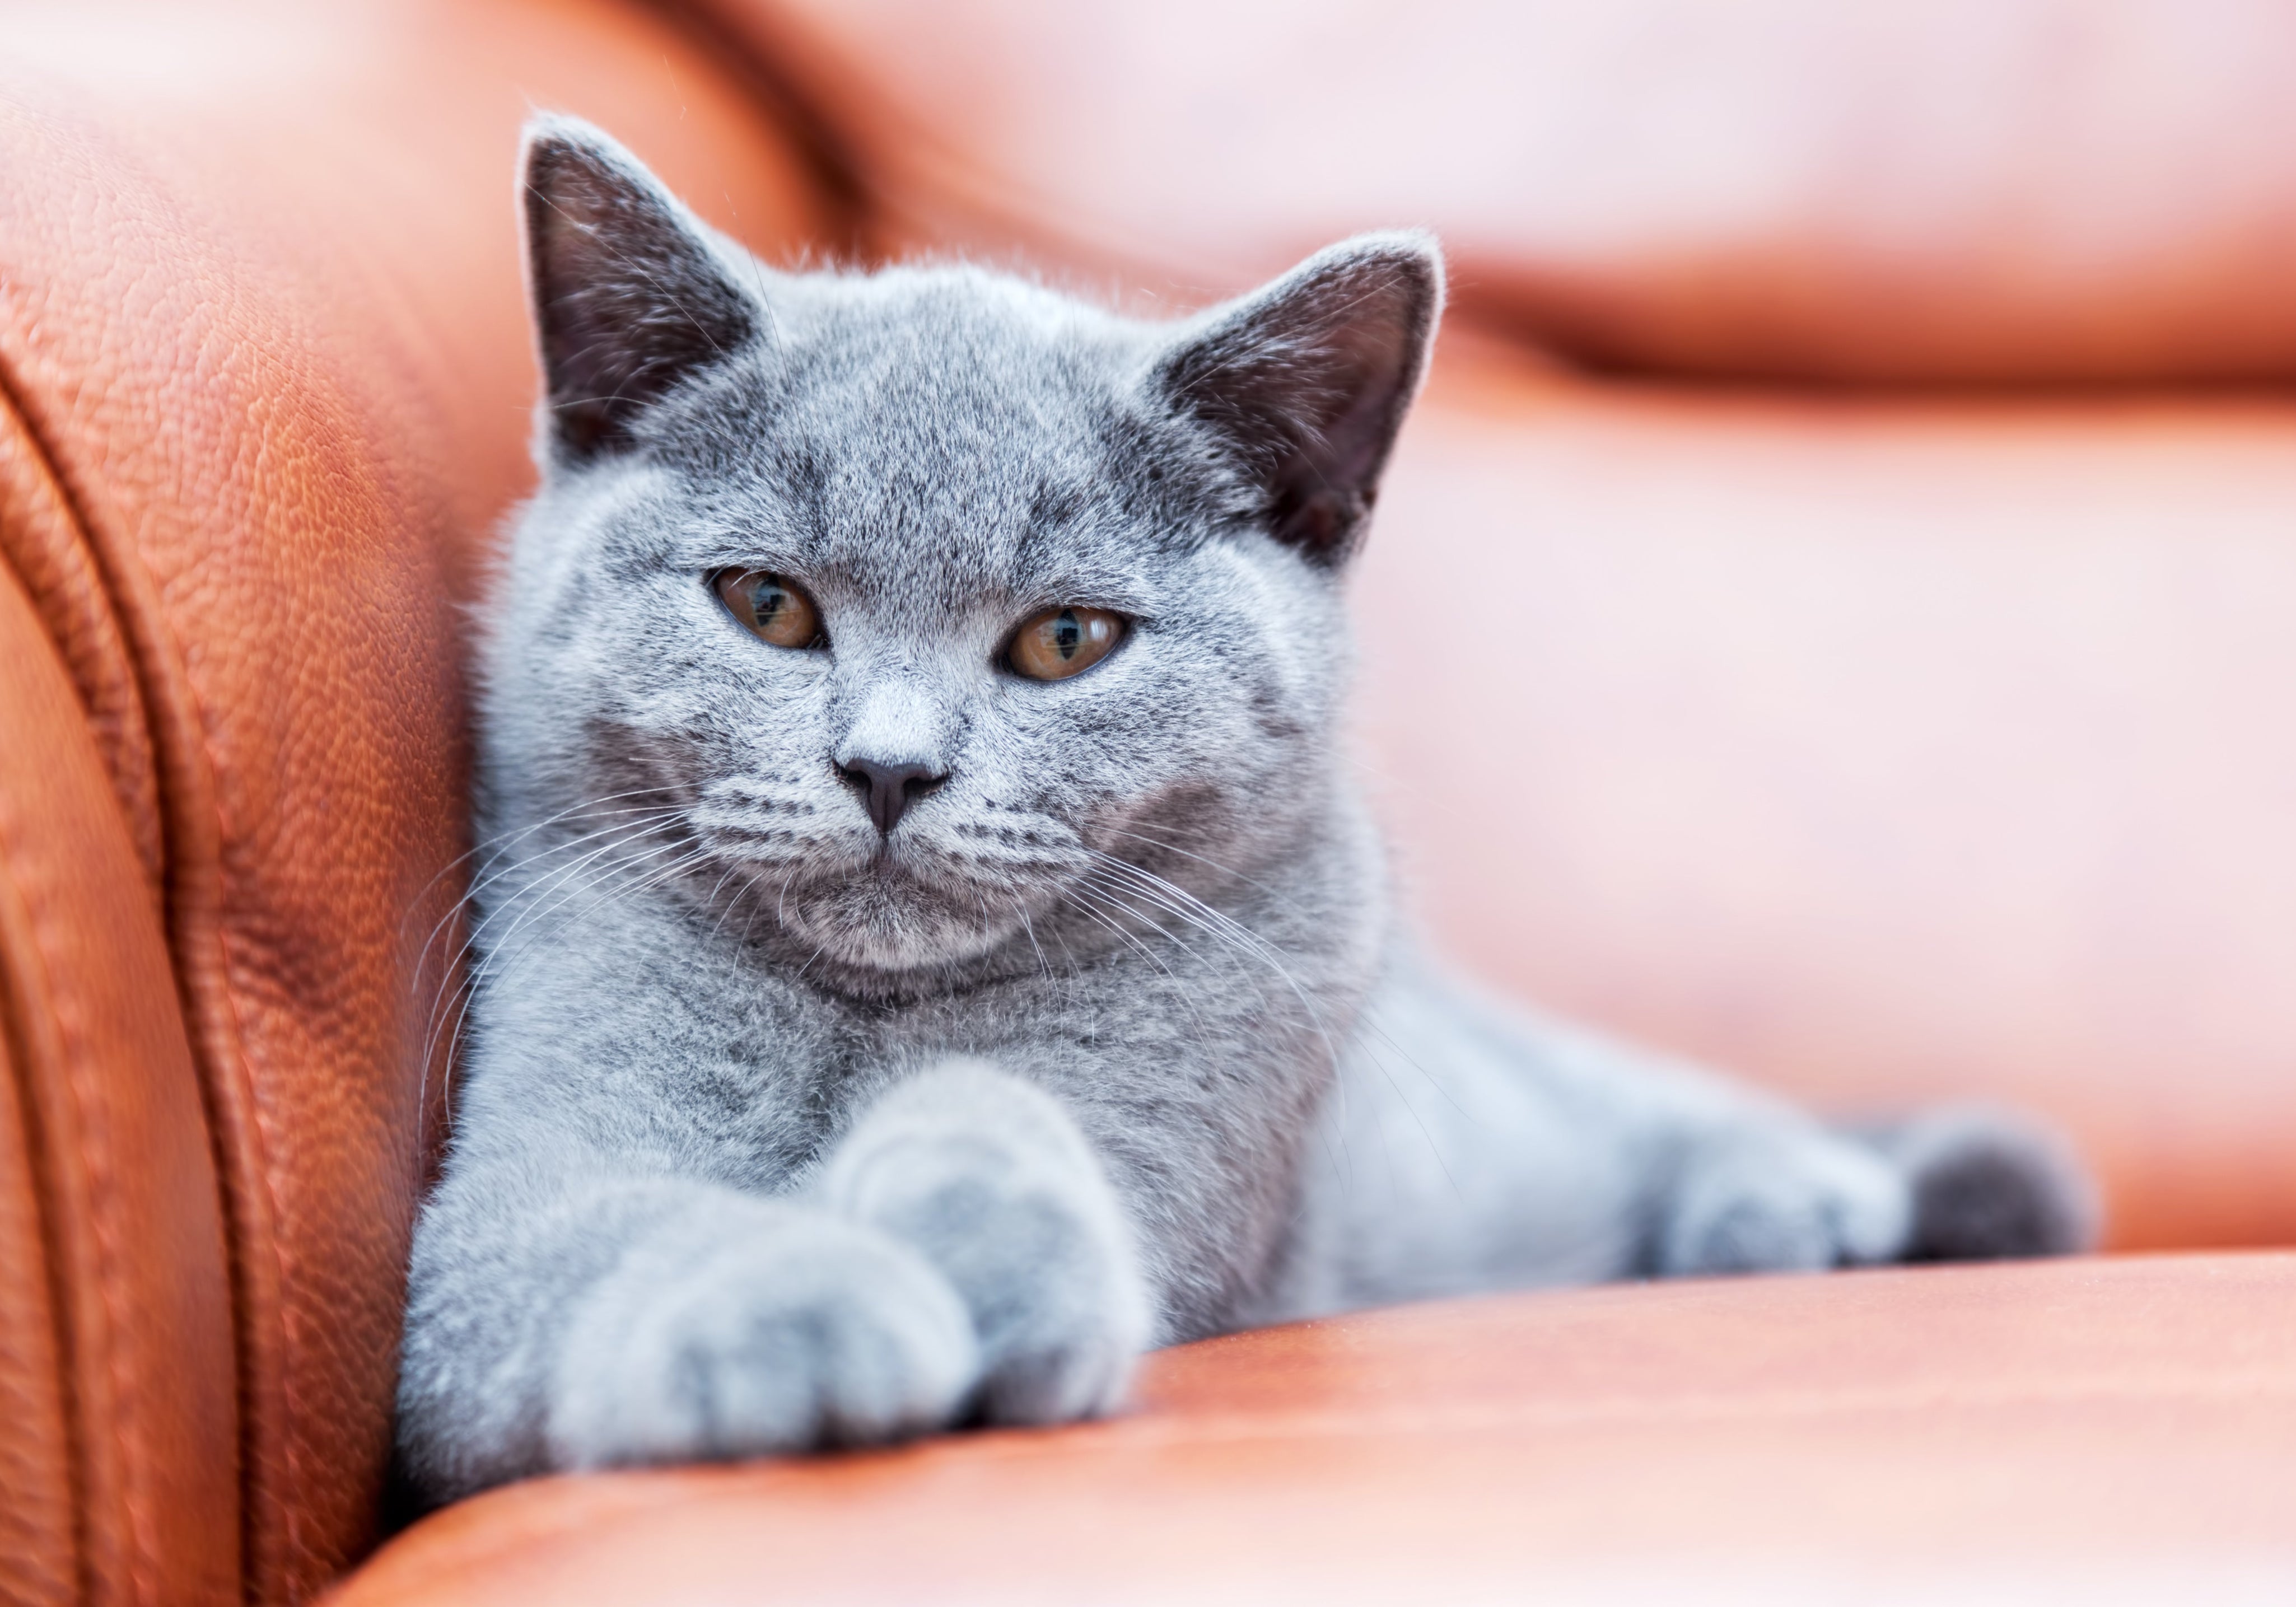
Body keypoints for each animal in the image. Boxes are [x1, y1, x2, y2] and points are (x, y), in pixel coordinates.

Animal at [395, 116, 2103, 1506]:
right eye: (766, 605)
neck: (862, 1016)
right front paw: (808, 1302)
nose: (888, 769)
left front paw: (993, 1256)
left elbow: (1007, 1111)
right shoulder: (492, 1214)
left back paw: (1807, 1197)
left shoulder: (1192, 1120)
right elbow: (595, 1232)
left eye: (1064, 641)